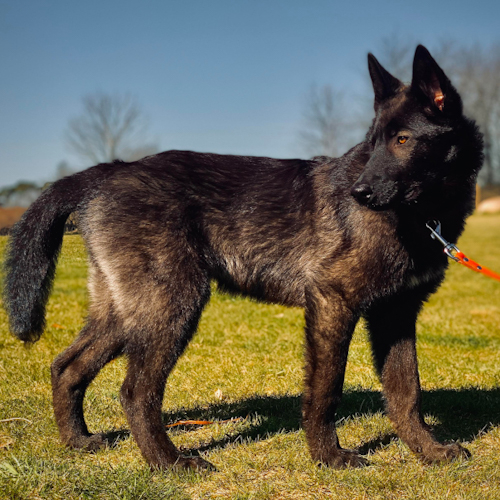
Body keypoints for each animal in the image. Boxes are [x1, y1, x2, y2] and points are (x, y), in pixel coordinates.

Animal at [2, 45, 480, 470]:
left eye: (402, 140)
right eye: (373, 142)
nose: (358, 193)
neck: (420, 215)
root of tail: (109, 170)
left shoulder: (396, 315)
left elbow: (407, 392)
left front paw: (429, 452)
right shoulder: (332, 302)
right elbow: (326, 390)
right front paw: (328, 458)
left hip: (125, 314)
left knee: (66, 367)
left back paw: (78, 442)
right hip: (171, 307)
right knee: (135, 392)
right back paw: (169, 463)